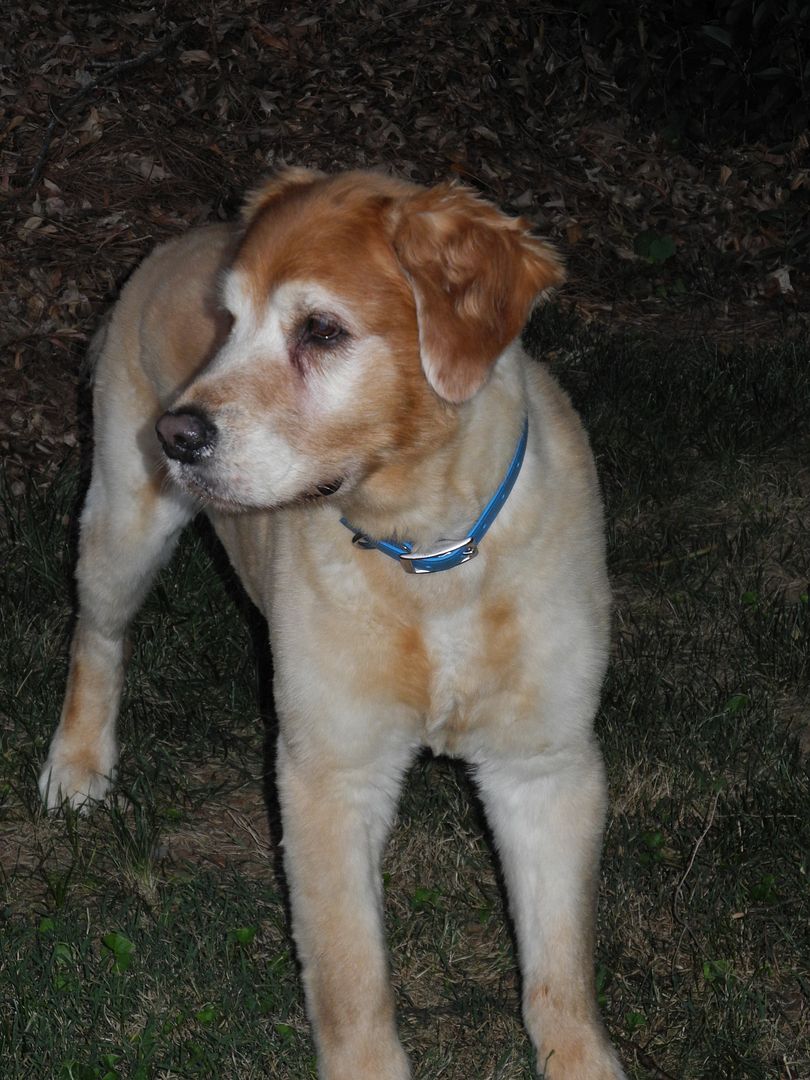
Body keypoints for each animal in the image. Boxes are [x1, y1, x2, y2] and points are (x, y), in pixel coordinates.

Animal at [39, 168, 626, 1080]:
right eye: (227, 322)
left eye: (321, 331)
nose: (176, 433)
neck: (428, 551)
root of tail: (174, 240)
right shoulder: (329, 771)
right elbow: (352, 980)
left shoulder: (545, 765)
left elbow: (558, 972)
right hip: (123, 526)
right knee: (96, 636)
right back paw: (78, 764)